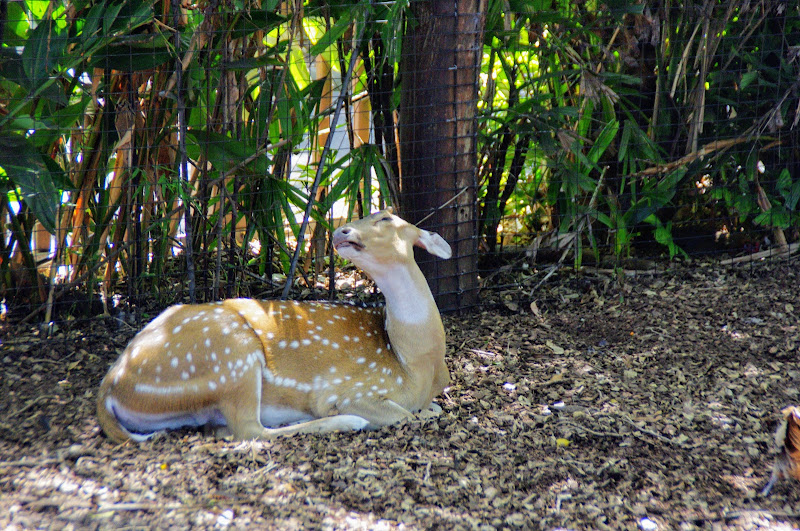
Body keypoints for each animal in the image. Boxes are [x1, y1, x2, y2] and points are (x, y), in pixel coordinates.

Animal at [96, 209, 452, 442]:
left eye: (386, 218)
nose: (342, 231)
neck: (413, 364)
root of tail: (110, 387)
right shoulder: (352, 387)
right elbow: (406, 415)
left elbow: (432, 410)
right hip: (231, 356)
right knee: (249, 430)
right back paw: (346, 422)